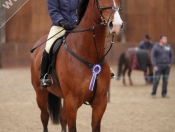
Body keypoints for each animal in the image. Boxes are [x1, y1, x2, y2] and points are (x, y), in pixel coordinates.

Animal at [30, 0, 123, 132]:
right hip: (40, 93)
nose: (116, 25)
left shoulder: (100, 102)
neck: (90, 57)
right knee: (44, 117)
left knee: (62, 118)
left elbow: (95, 126)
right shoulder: (72, 102)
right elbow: (72, 127)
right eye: (99, 1)